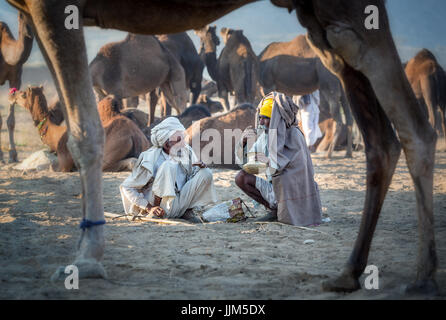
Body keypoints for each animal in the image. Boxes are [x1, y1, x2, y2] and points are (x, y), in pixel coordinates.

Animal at [9, 86, 149, 172]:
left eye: (23, 94)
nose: (12, 95)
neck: (56, 134)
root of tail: (134, 137)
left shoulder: (64, 164)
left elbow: (49, 167)